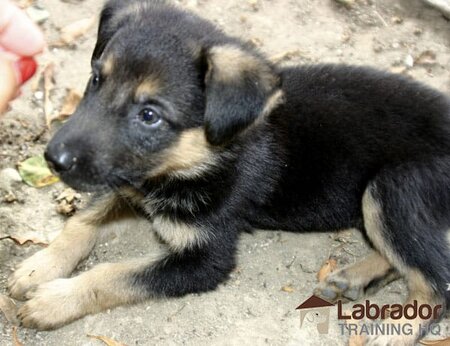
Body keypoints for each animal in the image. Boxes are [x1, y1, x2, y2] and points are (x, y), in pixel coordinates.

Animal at [7, 0, 450, 344]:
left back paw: (396, 331)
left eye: (149, 115)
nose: (53, 158)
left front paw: (55, 299)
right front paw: (38, 267)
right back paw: (355, 277)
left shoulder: (206, 259)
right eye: (96, 80)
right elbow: (82, 222)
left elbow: (115, 274)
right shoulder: (128, 183)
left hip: (391, 187)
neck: (197, 158)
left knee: (436, 281)